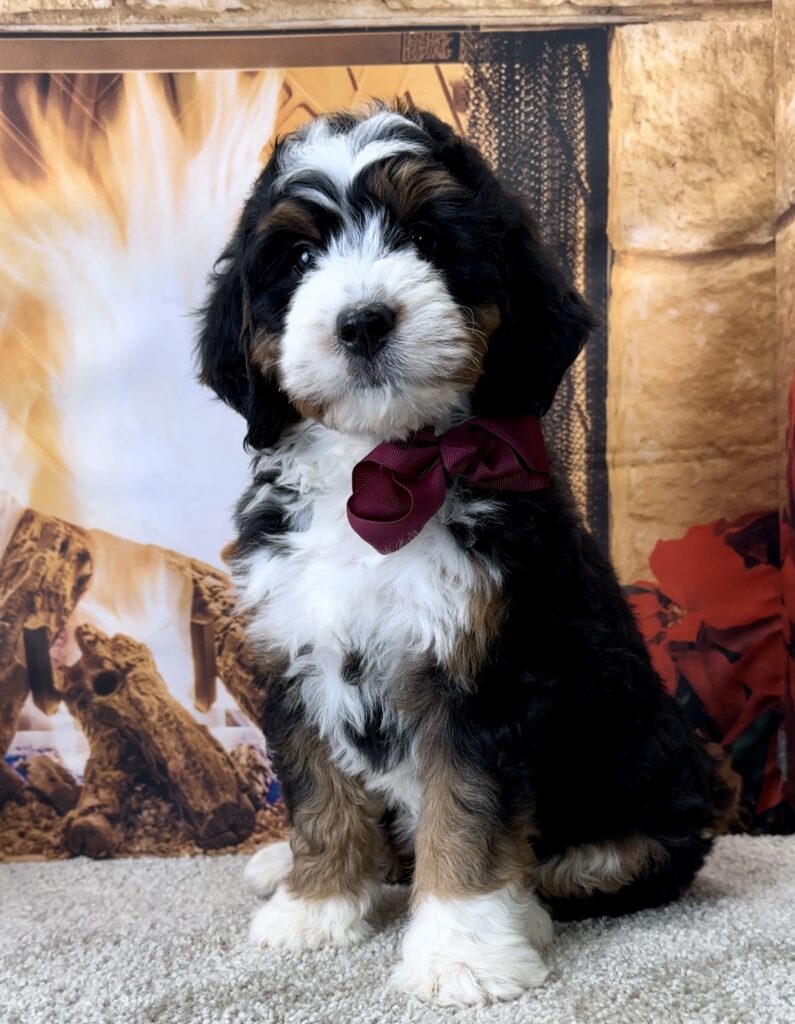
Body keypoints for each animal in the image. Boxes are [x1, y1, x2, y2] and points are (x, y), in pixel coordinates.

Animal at [196, 102, 736, 1007]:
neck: (378, 470)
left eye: (426, 239)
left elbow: (467, 817)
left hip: (657, 789)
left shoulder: (486, 671)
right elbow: (319, 790)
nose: (362, 321)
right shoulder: (297, 653)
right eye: (300, 259)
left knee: (602, 862)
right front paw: (316, 907)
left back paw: (534, 903)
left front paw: (461, 952)